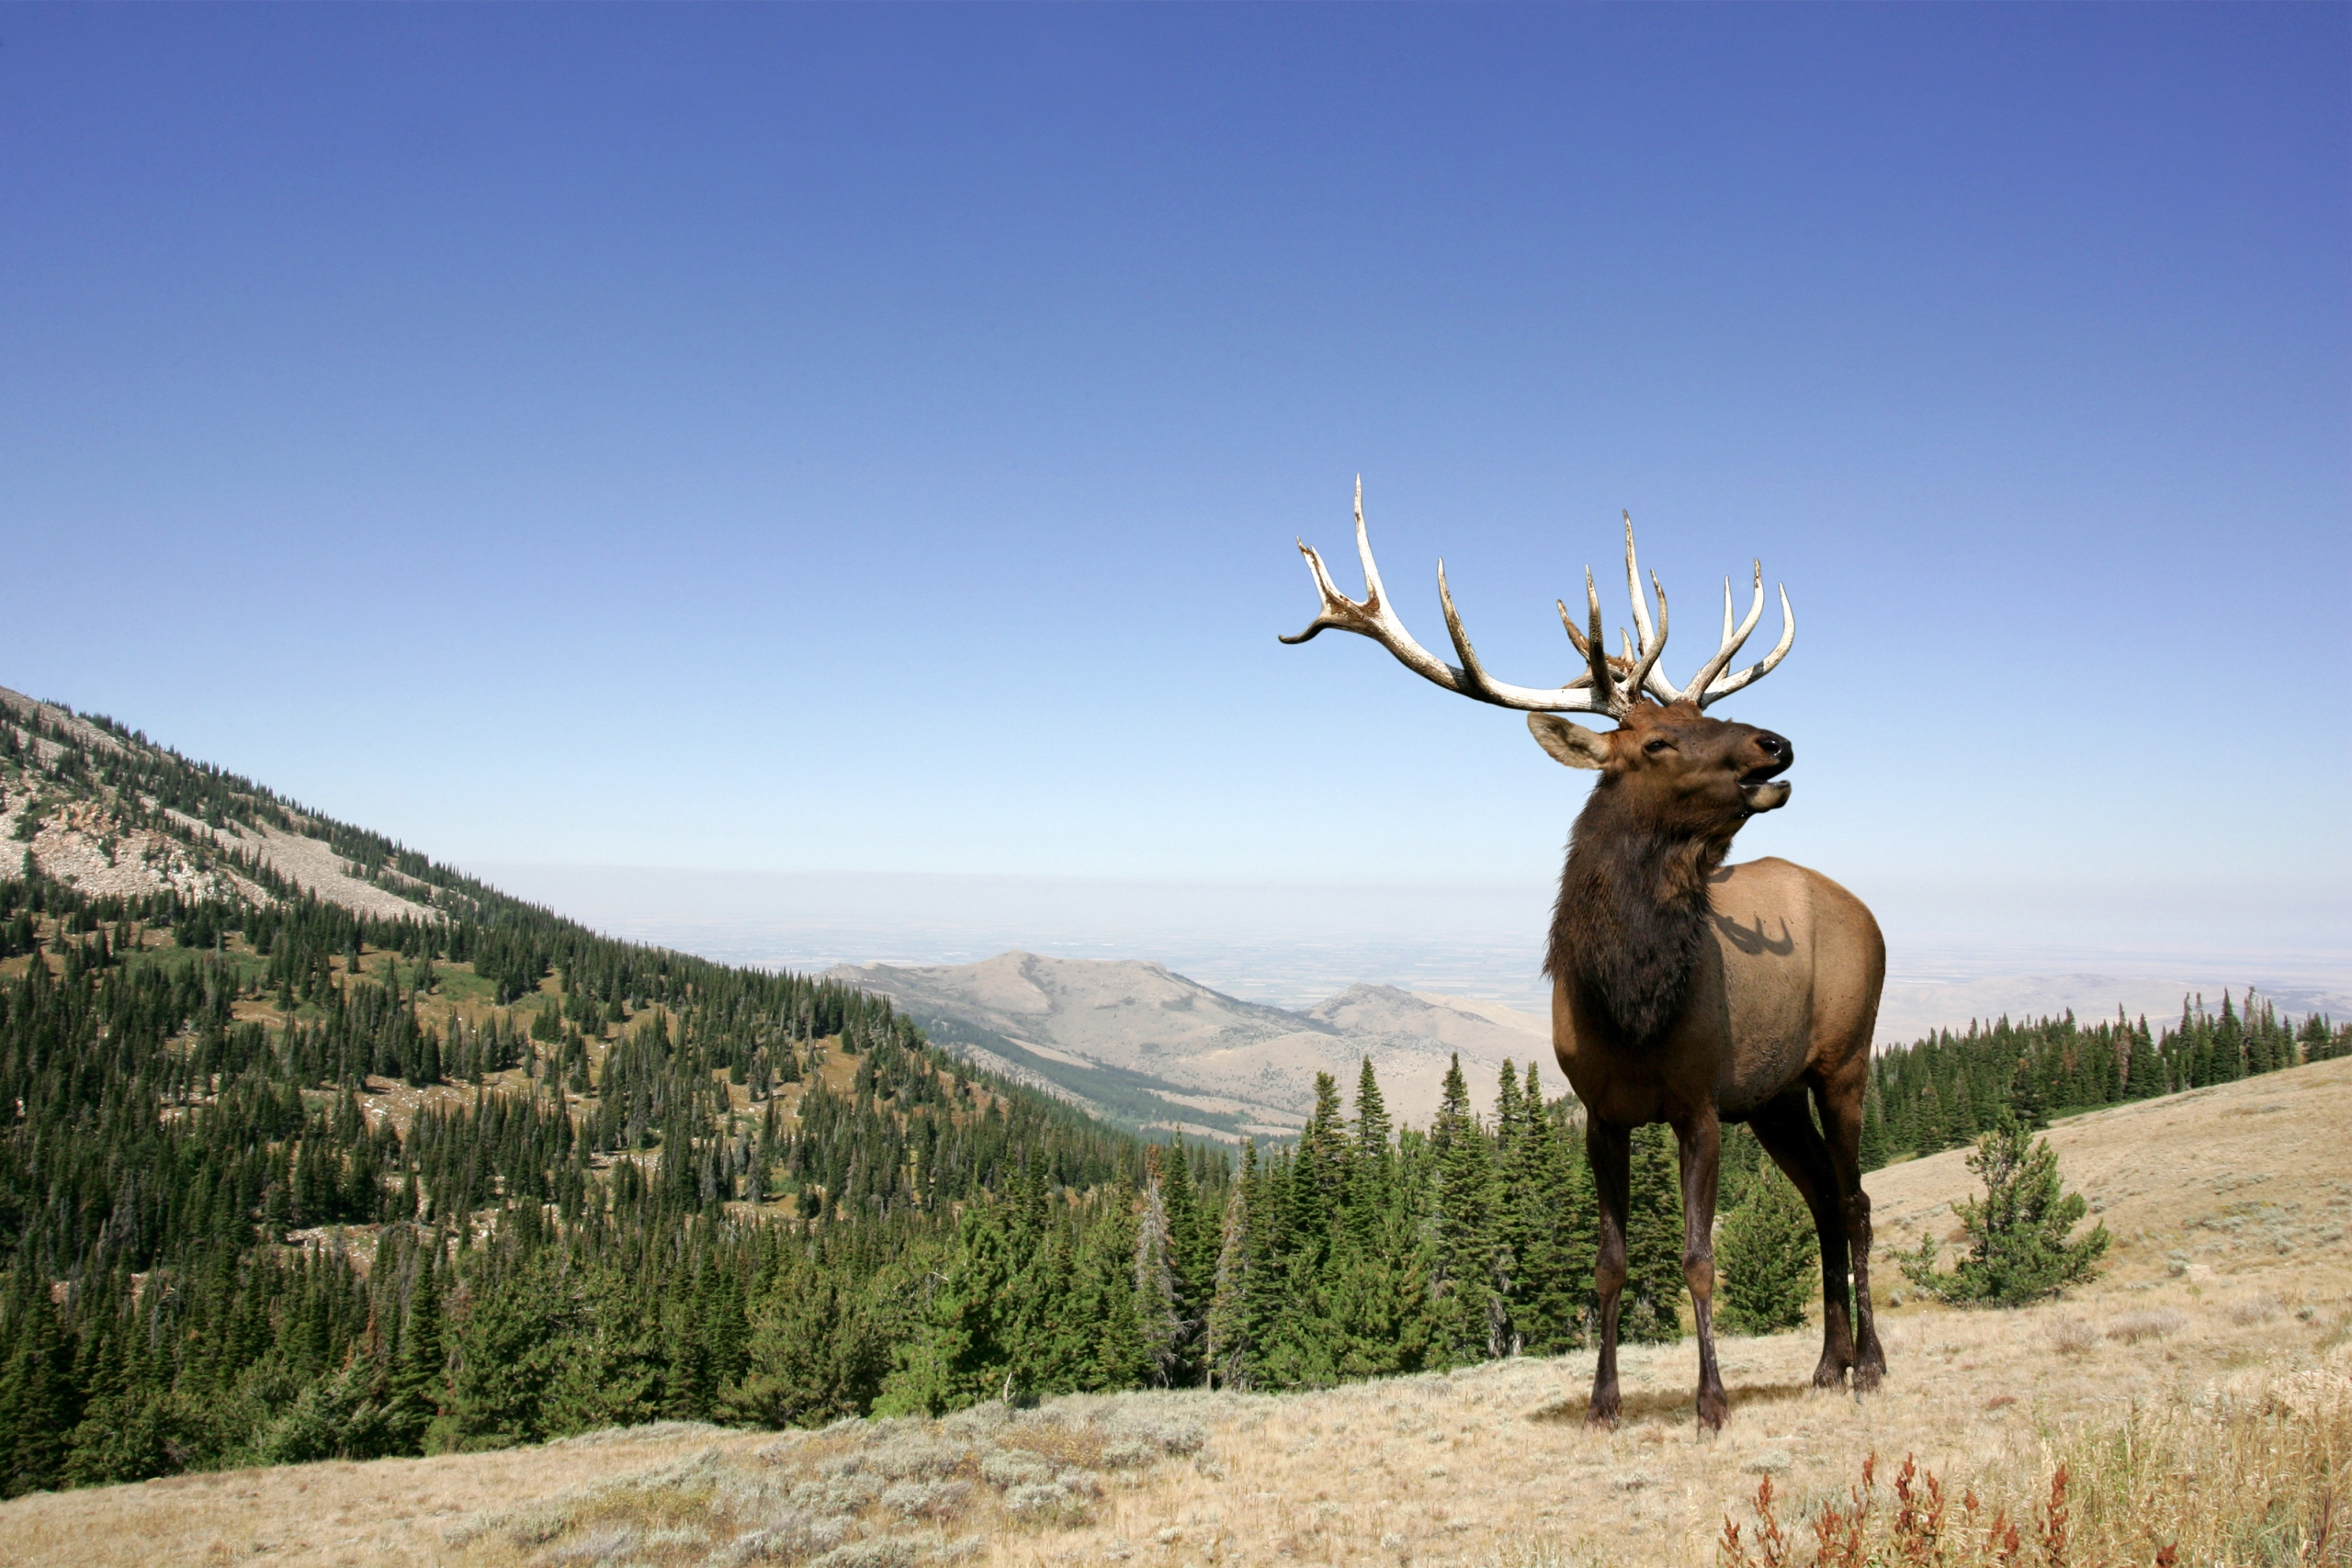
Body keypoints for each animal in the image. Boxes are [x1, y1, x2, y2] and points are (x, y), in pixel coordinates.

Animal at [1279, 484, 1882, 1429]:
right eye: (1658, 740)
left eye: (1704, 715)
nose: (1776, 745)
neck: (1628, 1002)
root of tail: (1868, 912)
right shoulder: (1602, 1111)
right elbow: (1608, 1263)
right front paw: (1604, 1400)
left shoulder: (1698, 1102)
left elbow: (1698, 1258)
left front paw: (1710, 1400)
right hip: (1775, 1094)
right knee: (1824, 1198)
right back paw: (1829, 1361)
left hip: (1846, 1057)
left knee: (1856, 1199)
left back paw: (1872, 1364)